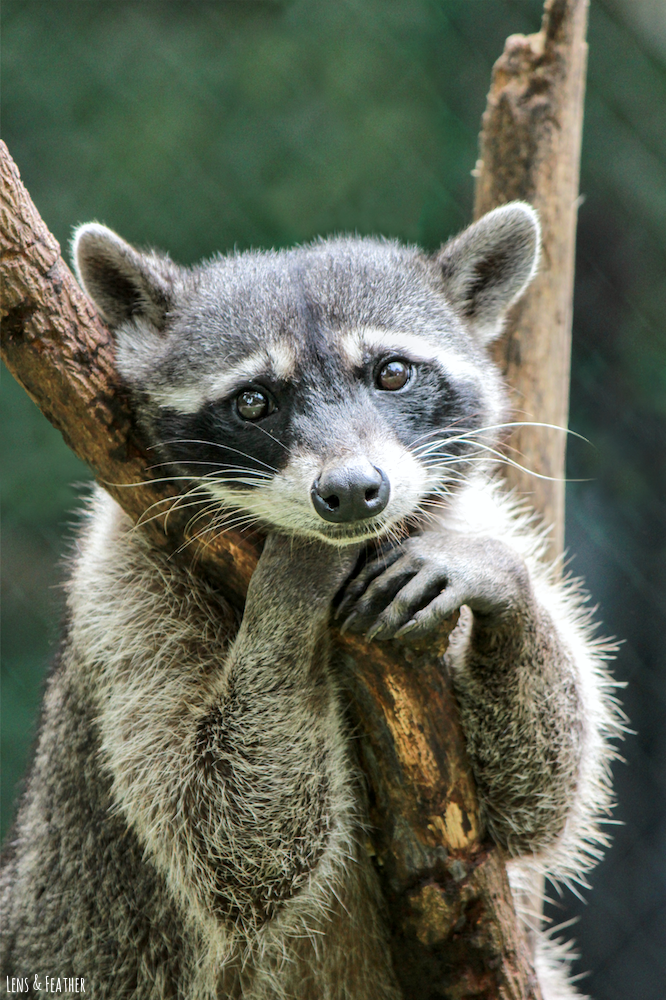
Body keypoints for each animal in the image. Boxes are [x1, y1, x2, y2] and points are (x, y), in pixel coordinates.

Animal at [2, 205, 620, 1000]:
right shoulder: (126, 590)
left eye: (392, 372)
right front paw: (291, 586)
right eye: (254, 401)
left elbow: (533, 802)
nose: (353, 490)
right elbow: (225, 834)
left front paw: (500, 580)